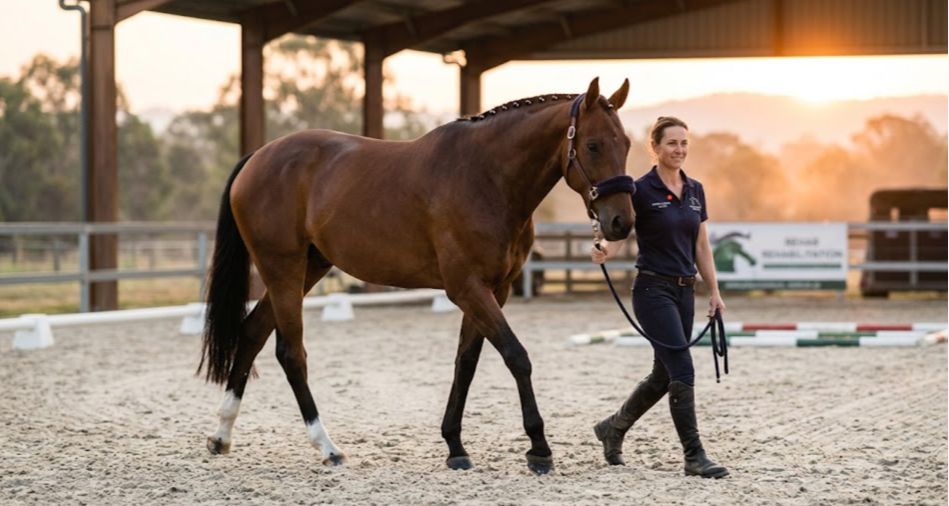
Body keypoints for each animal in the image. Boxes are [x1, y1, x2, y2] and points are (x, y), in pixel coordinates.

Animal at [198, 77, 635, 475]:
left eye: (627, 144)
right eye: (593, 145)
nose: (621, 222)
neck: (486, 177)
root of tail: (258, 157)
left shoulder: (494, 290)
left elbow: (466, 362)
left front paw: (455, 446)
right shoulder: (468, 288)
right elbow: (516, 356)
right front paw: (539, 449)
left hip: (306, 269)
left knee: (252, 333)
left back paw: (222, 435)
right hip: (283, 269)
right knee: (291, 353)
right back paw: (327, 447)